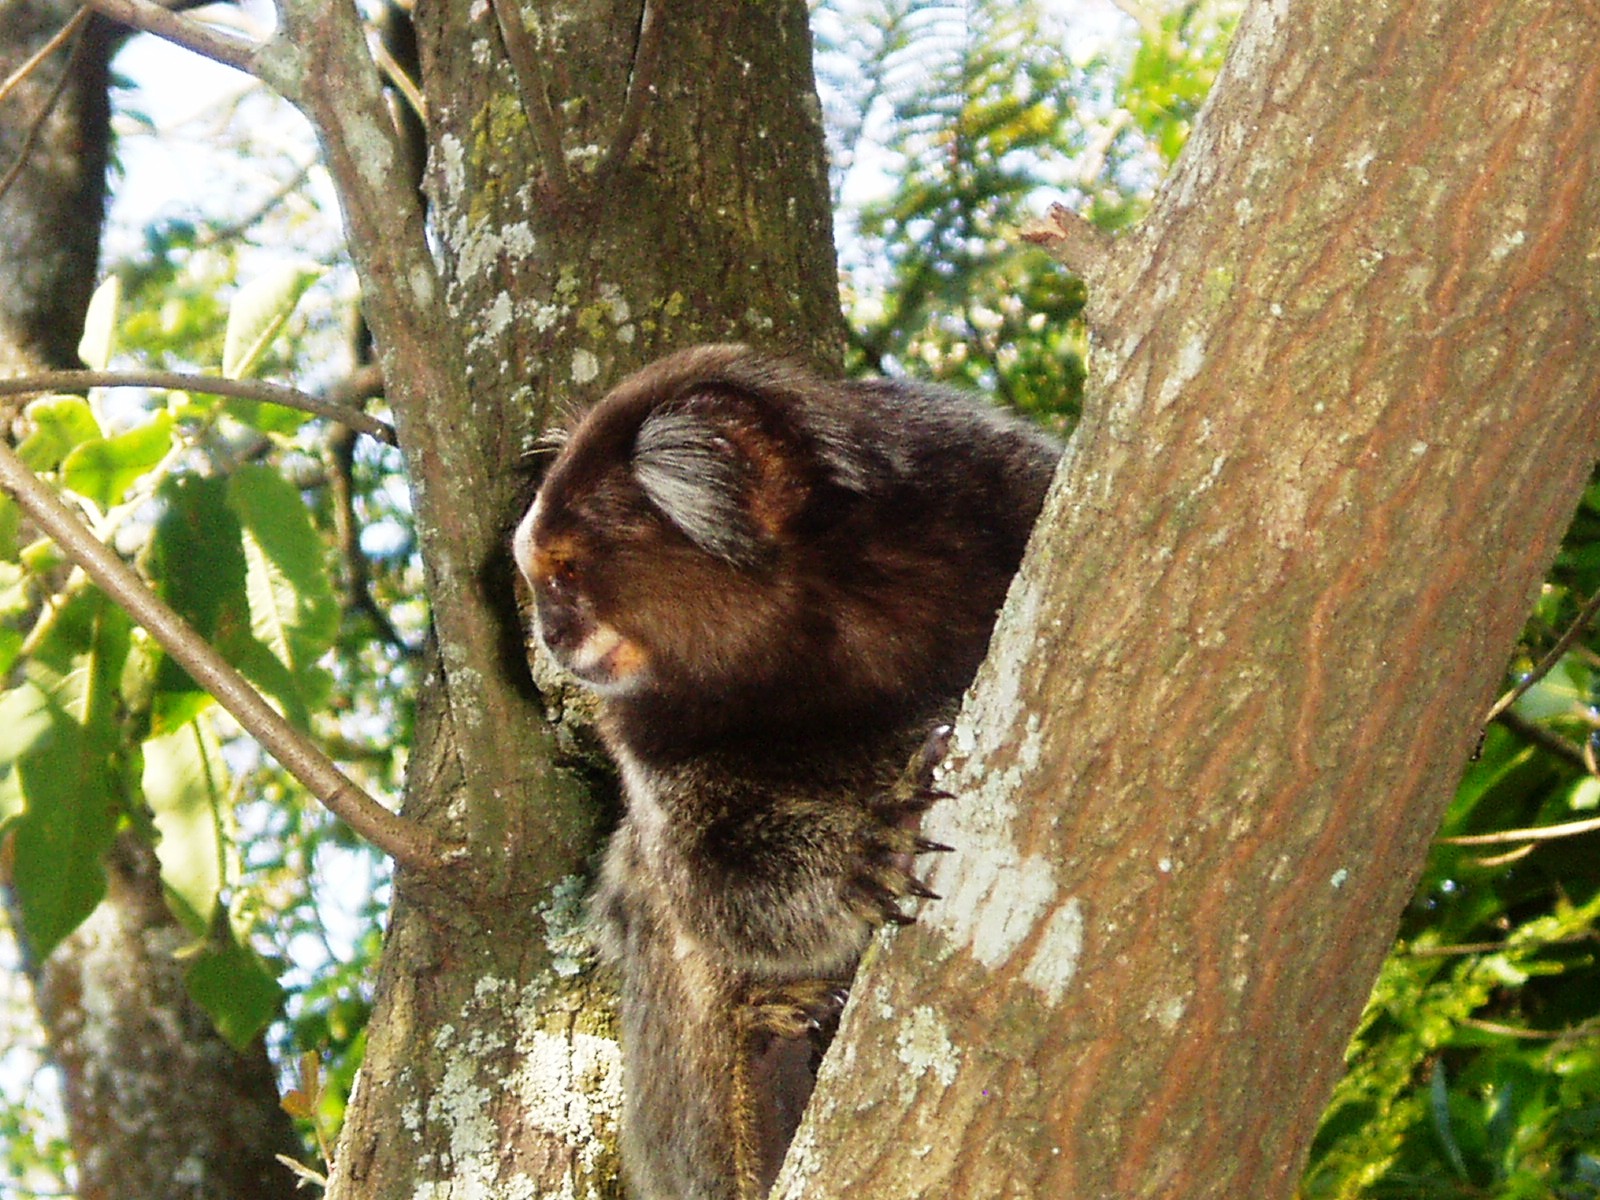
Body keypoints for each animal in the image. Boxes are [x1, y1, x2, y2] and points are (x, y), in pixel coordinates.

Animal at [513, 344, 1061, 1200]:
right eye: (540, 581)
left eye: (565, 573)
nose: (550, 633)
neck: (812, 615)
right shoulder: (648, 732)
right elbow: (705, 876)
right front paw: (861, 855)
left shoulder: (998, 483)